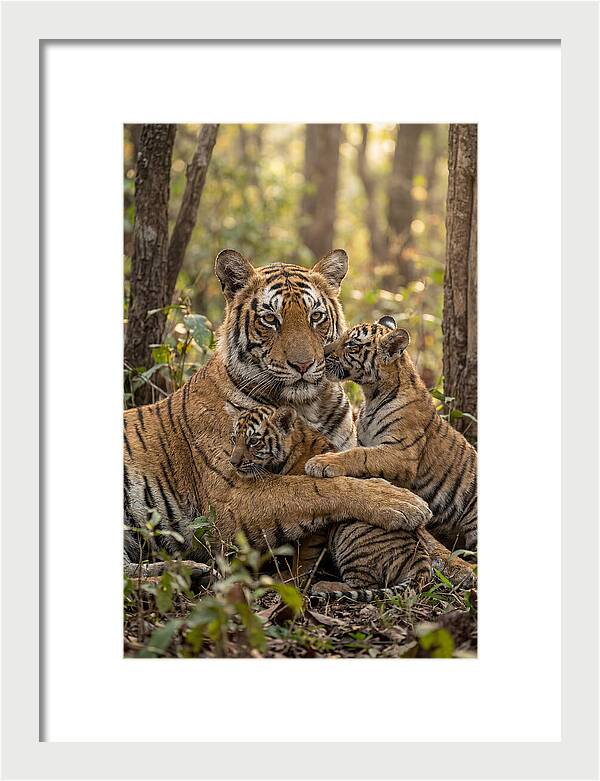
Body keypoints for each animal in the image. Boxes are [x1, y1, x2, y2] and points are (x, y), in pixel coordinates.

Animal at [123, 250, 432, 564]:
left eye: (316, 317)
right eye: (271, 319)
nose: (303, 365)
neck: (308, 406)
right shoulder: (230, 496)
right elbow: (311, 488)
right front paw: (400, 501)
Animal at [226, 402, 476, 592]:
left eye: (253, 441)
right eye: (233, 439)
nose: (233, 462)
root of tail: (420, 560)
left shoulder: (317, 523)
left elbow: (305, 554)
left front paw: (290, 579)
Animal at [305, 317, 477, 554]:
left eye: (352, 345)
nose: (322, 352)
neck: (371, 395)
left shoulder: (402, 453)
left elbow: (360, 455)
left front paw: (322, 462)